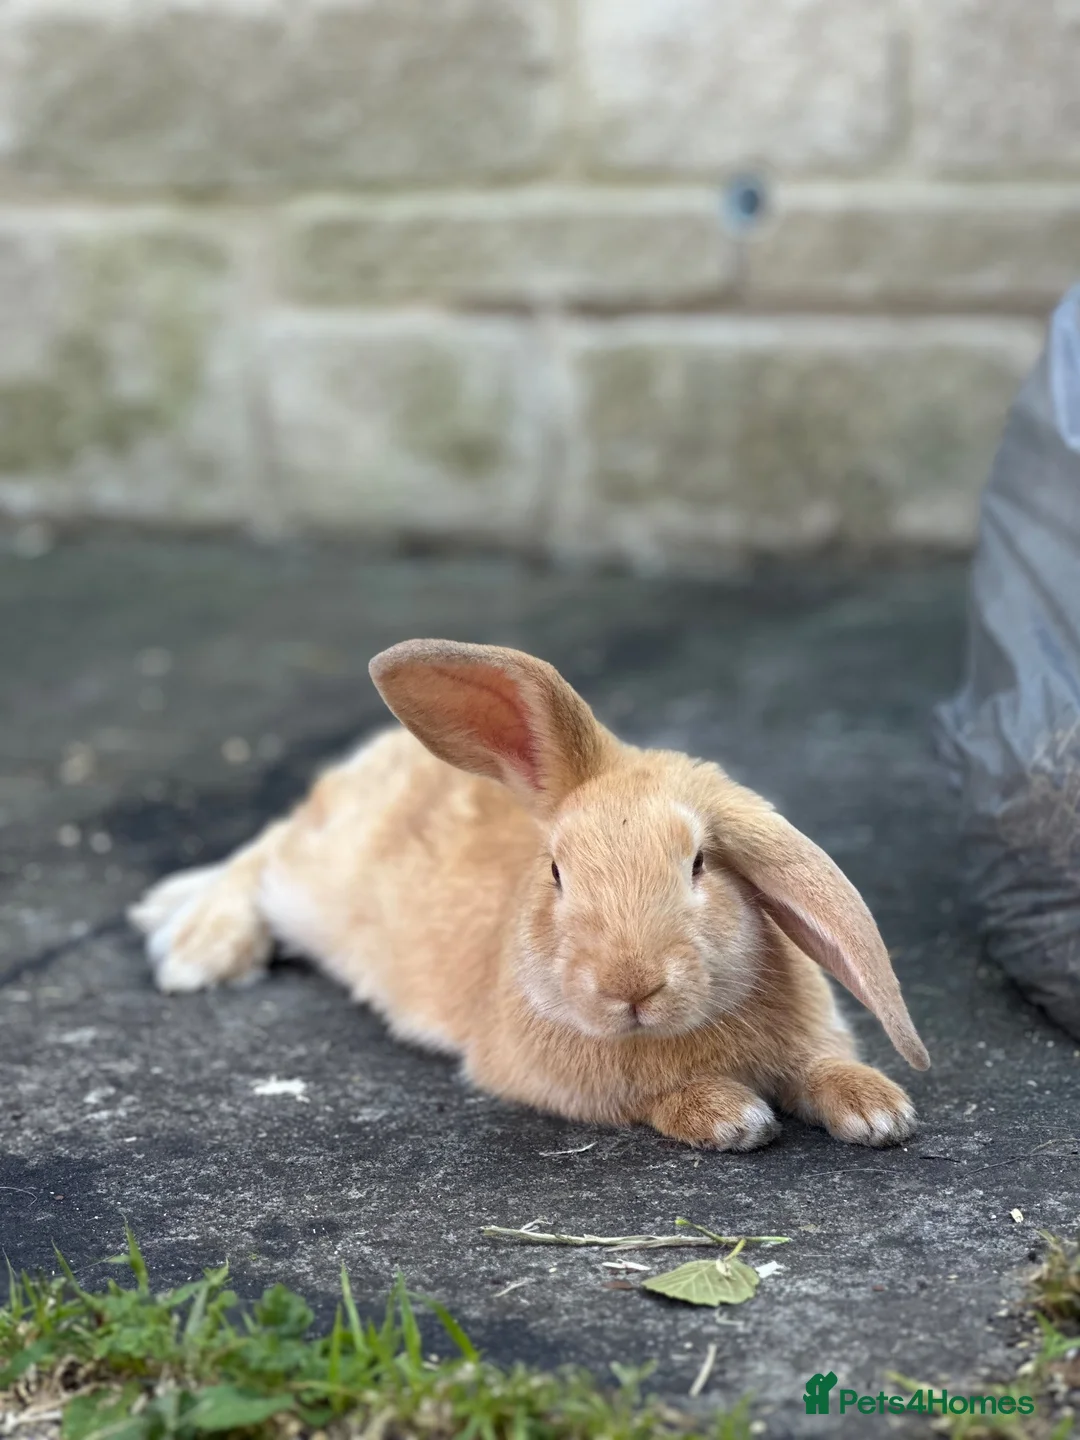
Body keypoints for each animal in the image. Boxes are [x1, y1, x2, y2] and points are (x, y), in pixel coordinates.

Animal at [129, 639, 930, 1151]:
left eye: (699, 863)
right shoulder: (563, 1076)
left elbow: (824, 1065)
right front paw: (734, 1118)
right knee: (264, 853)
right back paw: (193, 946)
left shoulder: (811, 1040)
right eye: (557, 871)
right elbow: (652, 1097)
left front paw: (879, 1111)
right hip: (313, 875)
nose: (631, 987)